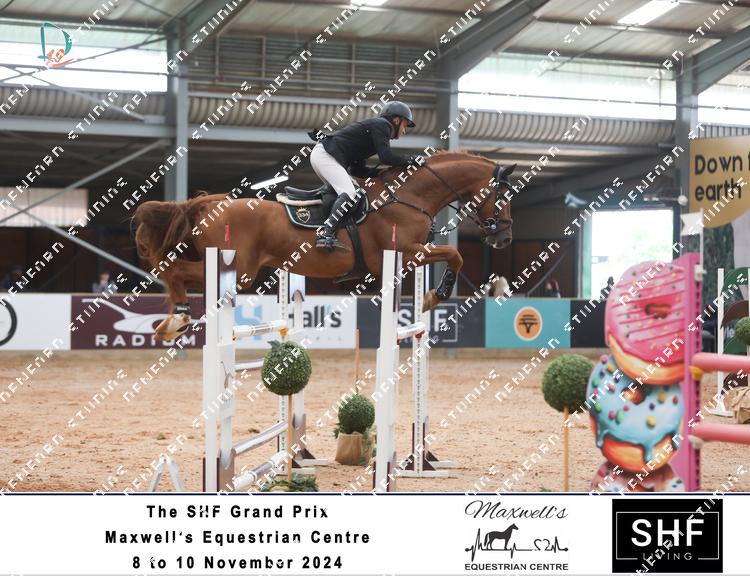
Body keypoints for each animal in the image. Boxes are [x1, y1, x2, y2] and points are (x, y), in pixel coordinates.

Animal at [132, 151, 515, 341]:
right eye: (503, 196)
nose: (505, 238)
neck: (408, 196)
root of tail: (209, 203)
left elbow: (452, 255)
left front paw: (432, 297)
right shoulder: (404, 252)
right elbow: (455, 255)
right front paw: (435, 297)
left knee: (175, 272)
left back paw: (173, 321)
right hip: (237, 269)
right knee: (175, 270)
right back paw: (174, 321)